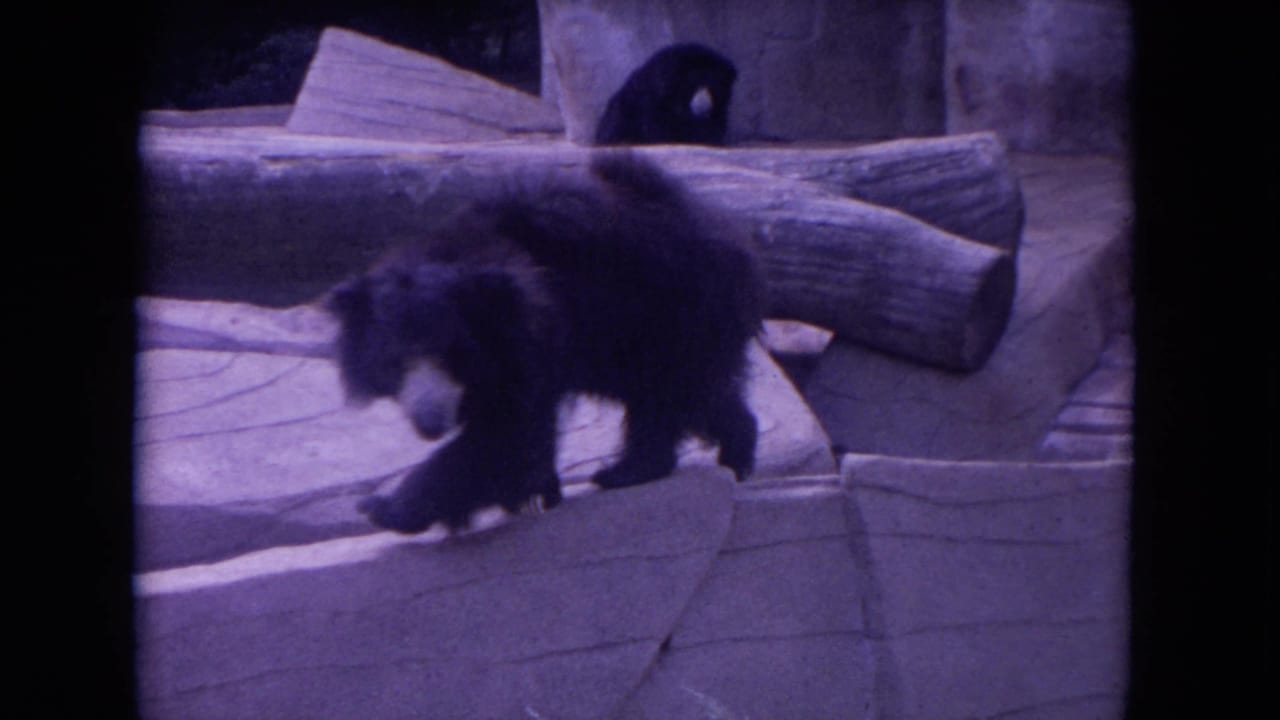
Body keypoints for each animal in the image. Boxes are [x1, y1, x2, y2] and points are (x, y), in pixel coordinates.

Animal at [326, 152, 763, 534]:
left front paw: (383, 508)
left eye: (452, 355)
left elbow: (506, 435)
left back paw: (626, 471)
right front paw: (539, 495)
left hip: (669, 311)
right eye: (395, 361)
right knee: (696, 393)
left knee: (669, 392)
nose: (429, 423)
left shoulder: (529, 338)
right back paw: (734, 452)